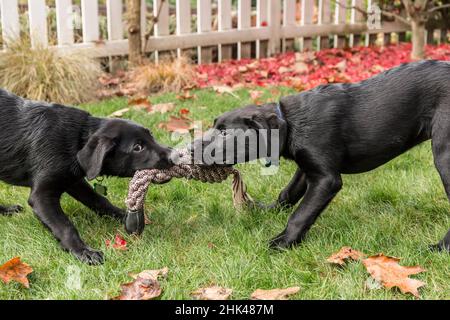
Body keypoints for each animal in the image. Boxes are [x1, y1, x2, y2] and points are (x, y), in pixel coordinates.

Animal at [0, 89, 173, 264]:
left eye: (151, 135)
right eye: (137, 147)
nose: (176, 156)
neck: (77, 138)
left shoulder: (73, 180)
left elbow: (99, 200)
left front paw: (122, 215)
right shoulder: (41, 195)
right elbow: (65, 226)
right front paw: (83, 251)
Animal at [193, 58, 450, 251]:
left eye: (225, 133)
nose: (190, 149)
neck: (290, 122)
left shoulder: (327, 179)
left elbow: (301, 213)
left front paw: (282, 243)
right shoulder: (306, 167)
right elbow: (288, 192)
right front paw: (269, 211)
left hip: (444, 155)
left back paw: (439, 247)